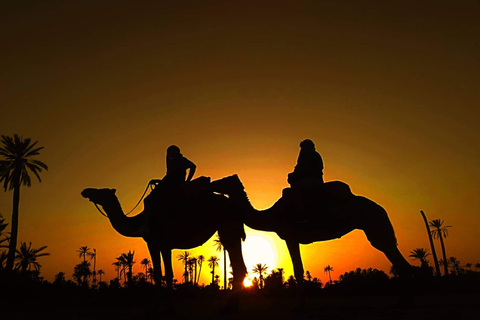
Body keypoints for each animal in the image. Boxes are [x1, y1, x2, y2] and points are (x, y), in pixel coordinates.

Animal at [81, 179, 248, 298]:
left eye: (101, 192)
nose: (85, 191)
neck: (138, 221)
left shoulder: (162, 243)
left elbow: (167, 274)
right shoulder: (156, 244)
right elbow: (159, 274)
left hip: (227, 226)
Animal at [214, 175, 412, 304]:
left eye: (224, 180)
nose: (212, 182)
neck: (272, 215)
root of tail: (381, 209)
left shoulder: (290, 236)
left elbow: (298, 269)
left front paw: (300, 304)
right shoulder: (291, 237)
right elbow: (298, 269)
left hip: (375, 226)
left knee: (395, 256)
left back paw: (406, 301)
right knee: (398, 260)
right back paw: (404, 300)